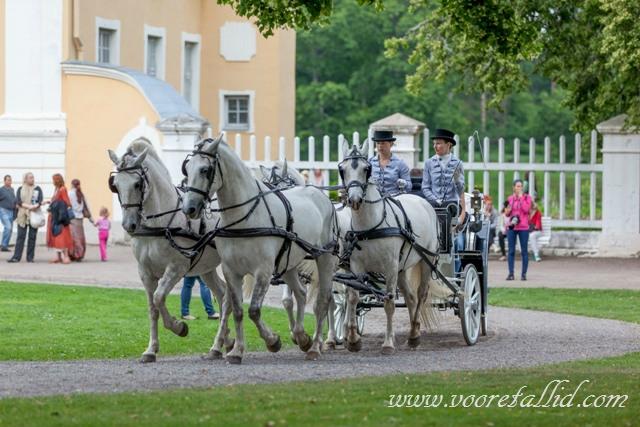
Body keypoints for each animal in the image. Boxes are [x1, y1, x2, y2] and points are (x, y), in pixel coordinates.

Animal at [107, 140, 232, 364]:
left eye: (137, 184)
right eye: (116, 185)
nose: (129, 225)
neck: (159, 224)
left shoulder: (176, 268)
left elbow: (159, 297)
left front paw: (179, 326)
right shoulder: (145, 272)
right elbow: (152, 308)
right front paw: (151, 350)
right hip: (206, 268)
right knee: (222, 293)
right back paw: (222, 343)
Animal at [182, 138, 338, 364]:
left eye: (205, 170)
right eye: (187, 169)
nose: (189, 209)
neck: (244, 218)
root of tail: (322, 195)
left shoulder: (263, 271)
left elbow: (254, 311)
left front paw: (272, 341)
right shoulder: (231, 271)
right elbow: (237, 310)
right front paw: (236, 351)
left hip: (324, 258)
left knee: (322, 302)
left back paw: (316, 346)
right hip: (288, 263)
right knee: (300, 293)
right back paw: (302, 337)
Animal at [338, 140, 442, 354]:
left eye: (366, 169)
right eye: (342, 169)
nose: (354, 200)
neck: (370, 226)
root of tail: (421, 199)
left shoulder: (390, 266)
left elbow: (389, 302)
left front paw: (387, 343)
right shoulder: (356, 267)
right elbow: (352, 298)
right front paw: (353, 340)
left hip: (426, 261)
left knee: (420, 294)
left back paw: (414, 335)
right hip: (402, 268)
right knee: (410, 297)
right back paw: (413, 334)